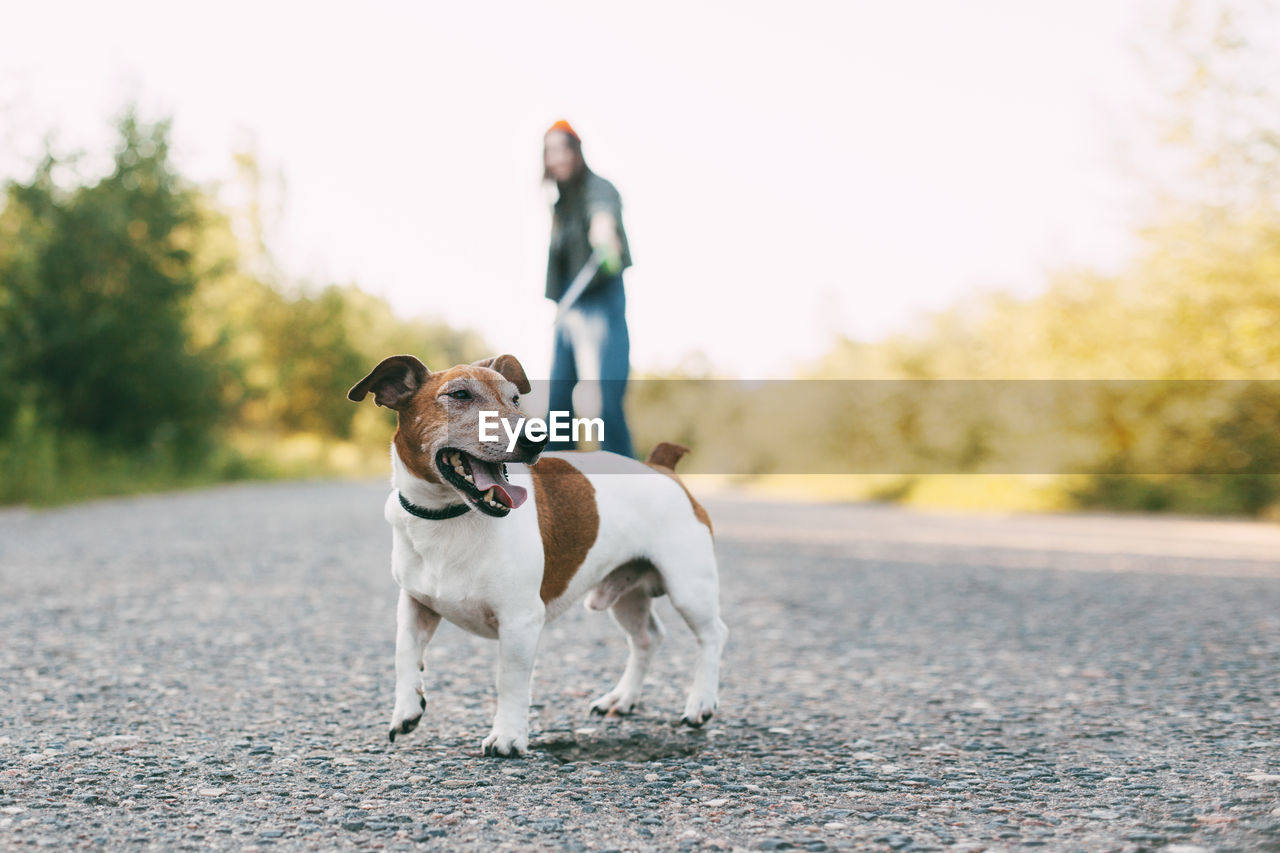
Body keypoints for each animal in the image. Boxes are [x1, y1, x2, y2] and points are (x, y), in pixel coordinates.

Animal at [348, 356, 732, 753]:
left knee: (713, 635)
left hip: (689, 587)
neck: (449, 514)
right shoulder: (414, 605)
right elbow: (404, 654)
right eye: (460, 394)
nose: (537, 437)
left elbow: (510, 680)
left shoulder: (520, 620)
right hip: (626, 595)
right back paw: (621, 699)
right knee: (647, 638)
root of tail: (661, 467)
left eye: (515, 398)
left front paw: (508, 736)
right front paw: (407, 709)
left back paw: (700, 704)